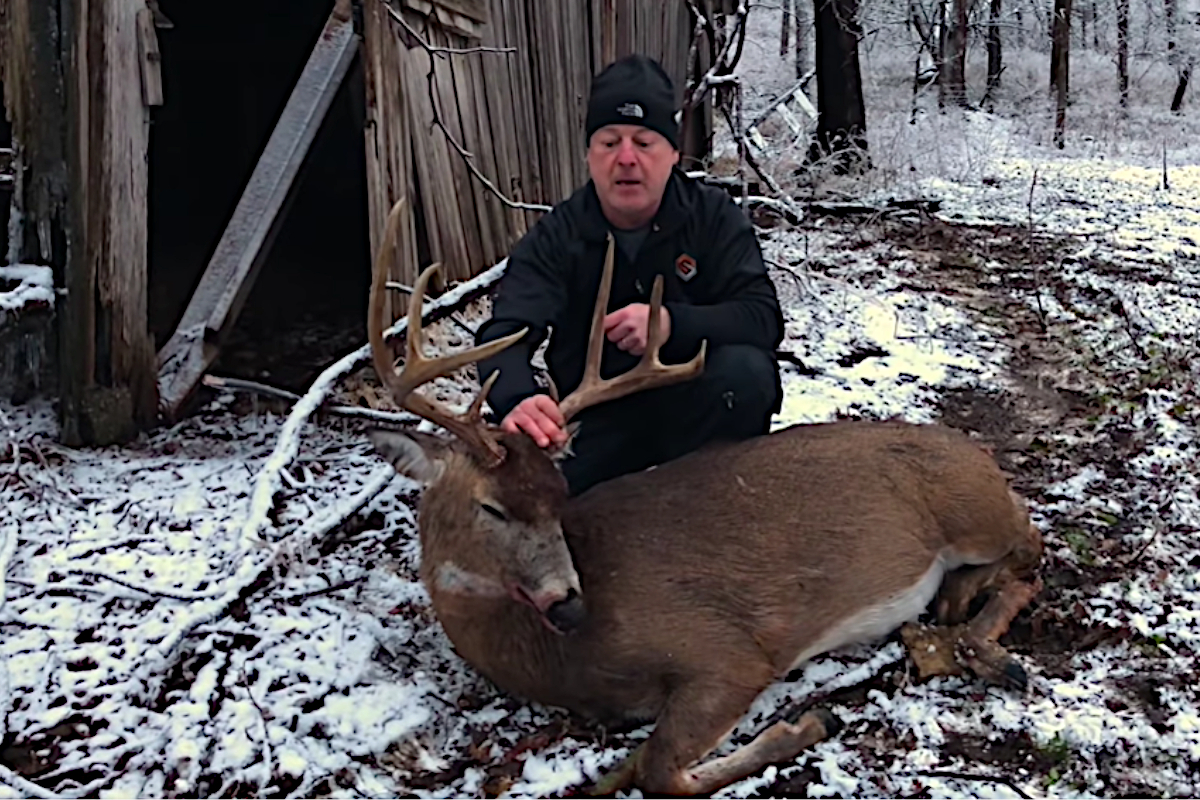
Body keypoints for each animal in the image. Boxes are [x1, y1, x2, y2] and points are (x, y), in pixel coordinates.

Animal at [364, 199, 1041, 796]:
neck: (560, 660)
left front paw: (808, 723)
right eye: (492, 506)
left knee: (1031, 550)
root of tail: (978, 455)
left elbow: (659, 767)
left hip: (973, 510)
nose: (570, 605)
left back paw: (984, 642)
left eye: (558, 499)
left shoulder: (728, 650)